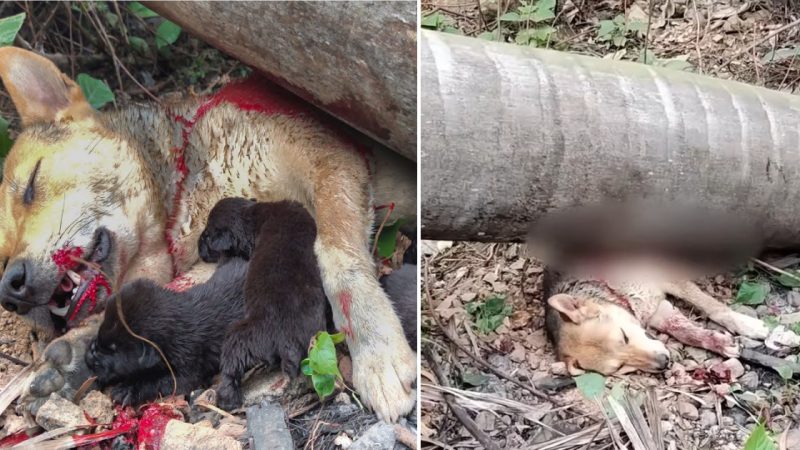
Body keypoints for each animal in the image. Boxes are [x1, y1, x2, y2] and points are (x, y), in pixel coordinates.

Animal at [84, 258, 247, 406]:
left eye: (114, 350)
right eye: (100, 333)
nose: (89, 355)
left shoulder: (187, 363)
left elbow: (161, 381)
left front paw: (127, 389)